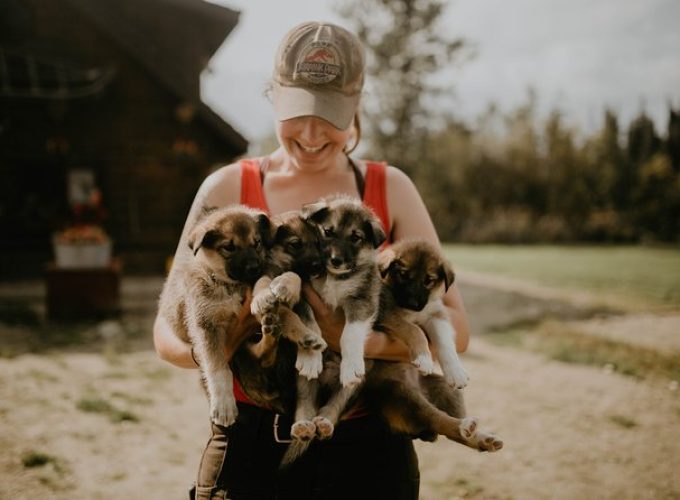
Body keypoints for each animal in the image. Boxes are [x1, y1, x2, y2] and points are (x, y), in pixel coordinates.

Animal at [159, 203, 274, 426]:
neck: (228, 285)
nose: (255, 268)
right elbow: (218, 368)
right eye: (229, 247)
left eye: (256, 243)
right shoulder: (206, 325)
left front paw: (265, 292)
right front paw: (224, 405)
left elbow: (262, 281)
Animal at [374, 240, 470, 388]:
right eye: (403, 274)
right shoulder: (387, 314)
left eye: (428, 280)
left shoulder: (434, 314)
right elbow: (414, 329)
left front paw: (455, 371)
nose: (412, 304)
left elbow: (445, 341)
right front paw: (423, 358)